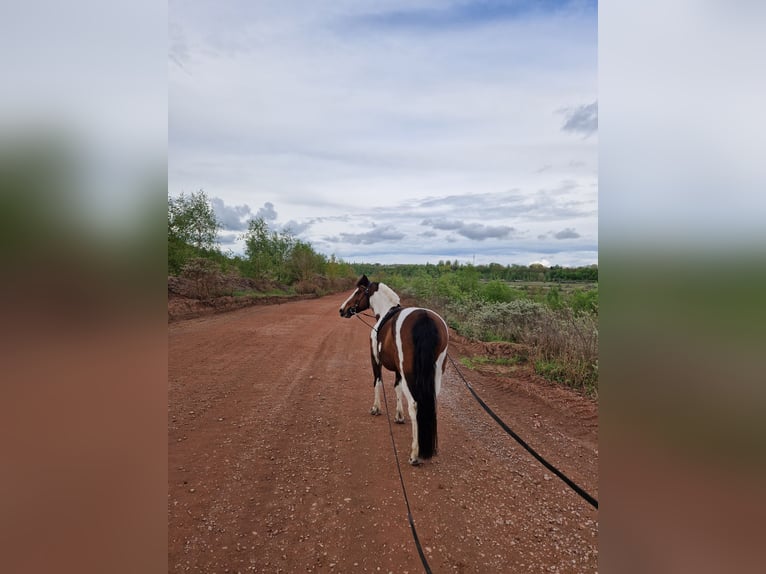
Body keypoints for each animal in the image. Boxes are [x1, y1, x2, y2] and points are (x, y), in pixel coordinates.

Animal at [340, 276, 450, 468]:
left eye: (358, 292)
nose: (342, 310)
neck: (385, 312)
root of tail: (424, 318)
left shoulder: (375, 360)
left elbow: (377, 382)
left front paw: (376, 408)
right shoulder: (399, 371)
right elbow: (396, 387)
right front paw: (399, 416)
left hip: (410, 374)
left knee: (415, 404)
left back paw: (415, 454)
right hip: (435, 375)